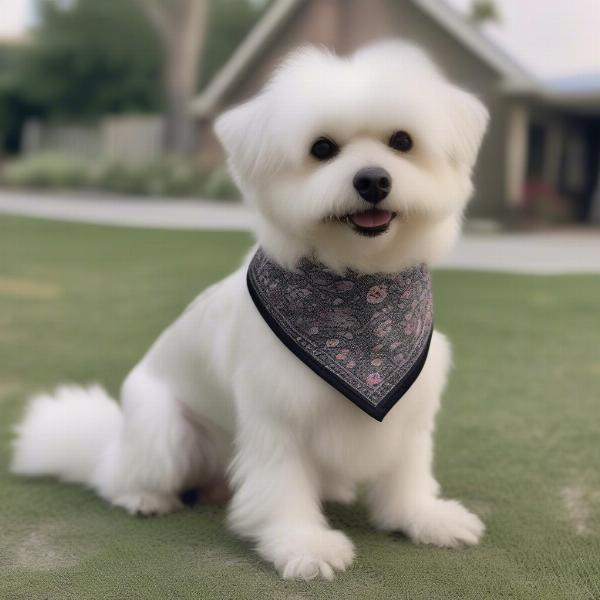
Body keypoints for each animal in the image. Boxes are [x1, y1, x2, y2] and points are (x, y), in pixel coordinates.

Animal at [11, 39, 490, 580]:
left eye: (402, 141)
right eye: (322, 148)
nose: (372, 180)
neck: (362, 293)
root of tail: (115, 443)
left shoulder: (410, 411)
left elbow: (407, 474)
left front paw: (424, 517)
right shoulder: (276, 414)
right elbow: (281, 487)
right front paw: (303, 543)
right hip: (165, 433)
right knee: (117, 477)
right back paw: (144, 497)